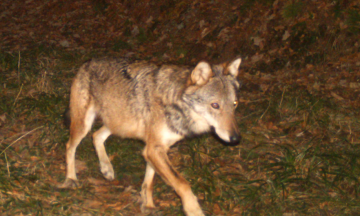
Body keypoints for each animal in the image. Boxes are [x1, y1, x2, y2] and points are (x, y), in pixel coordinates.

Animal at [60, 56, 243, 215]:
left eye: (234, 104)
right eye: (215, 105)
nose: (235, 139)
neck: (175, 102)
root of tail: (87, 62)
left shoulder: (153, 148)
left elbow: (148, 182)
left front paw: (147, 205)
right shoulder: (154, 149)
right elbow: (182, 184)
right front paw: (193, 210)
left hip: (119, 123)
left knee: (97, 136)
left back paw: (107, 168)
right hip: (84, 124)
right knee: (70, 146)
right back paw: (71, 179)